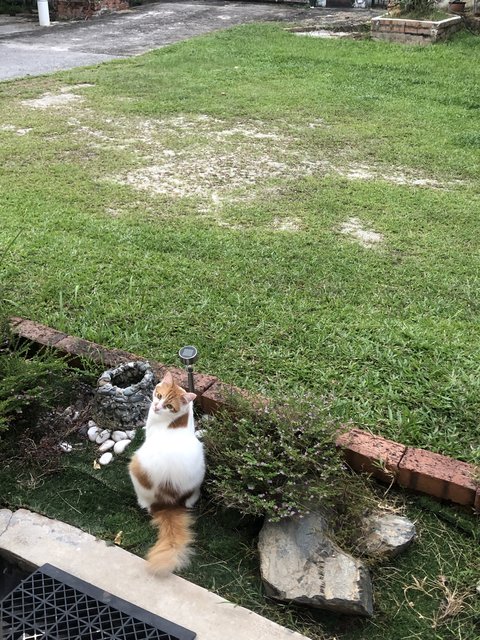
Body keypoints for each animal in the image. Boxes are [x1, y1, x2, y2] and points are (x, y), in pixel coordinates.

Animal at [127, 370, 204, 576]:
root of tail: (168, 500)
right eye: (159, 395)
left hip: (135, 465)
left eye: (169, 406)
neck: (178, 421)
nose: (156, 406)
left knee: (144, 503)